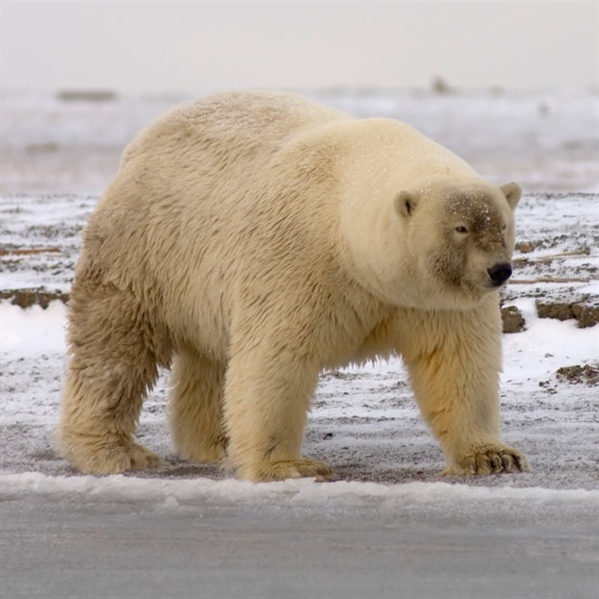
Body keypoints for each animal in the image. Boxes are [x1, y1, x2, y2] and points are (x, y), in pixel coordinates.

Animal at [58, 90, 528, 482]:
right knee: (115, 348)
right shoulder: (299, 260)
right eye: (461, 227)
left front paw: (492, 457)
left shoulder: (432, 300)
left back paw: (217, 443)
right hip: (145, 249)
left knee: (210, 360)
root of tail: (139, 144)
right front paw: (289, 466)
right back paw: (113, 451)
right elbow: (274, 358)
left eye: (502, 225)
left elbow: (457, 362)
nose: (499, 271)